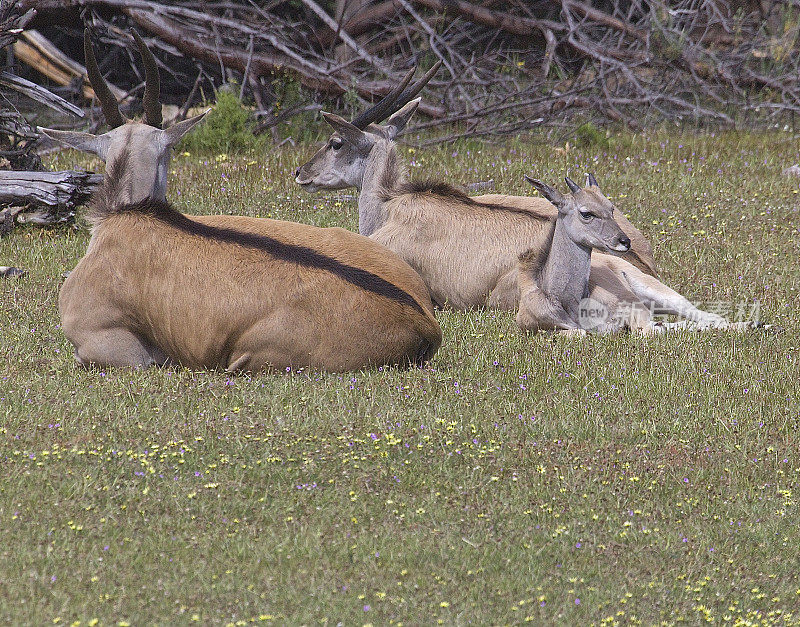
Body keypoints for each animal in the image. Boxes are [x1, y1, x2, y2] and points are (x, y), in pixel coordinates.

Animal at [516, 174, 736, 336]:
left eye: (611, 208)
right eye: (586, 213)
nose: (625, 241)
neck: (569, 302)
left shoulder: (636, 312)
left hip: (660, 293)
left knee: (710, 317)